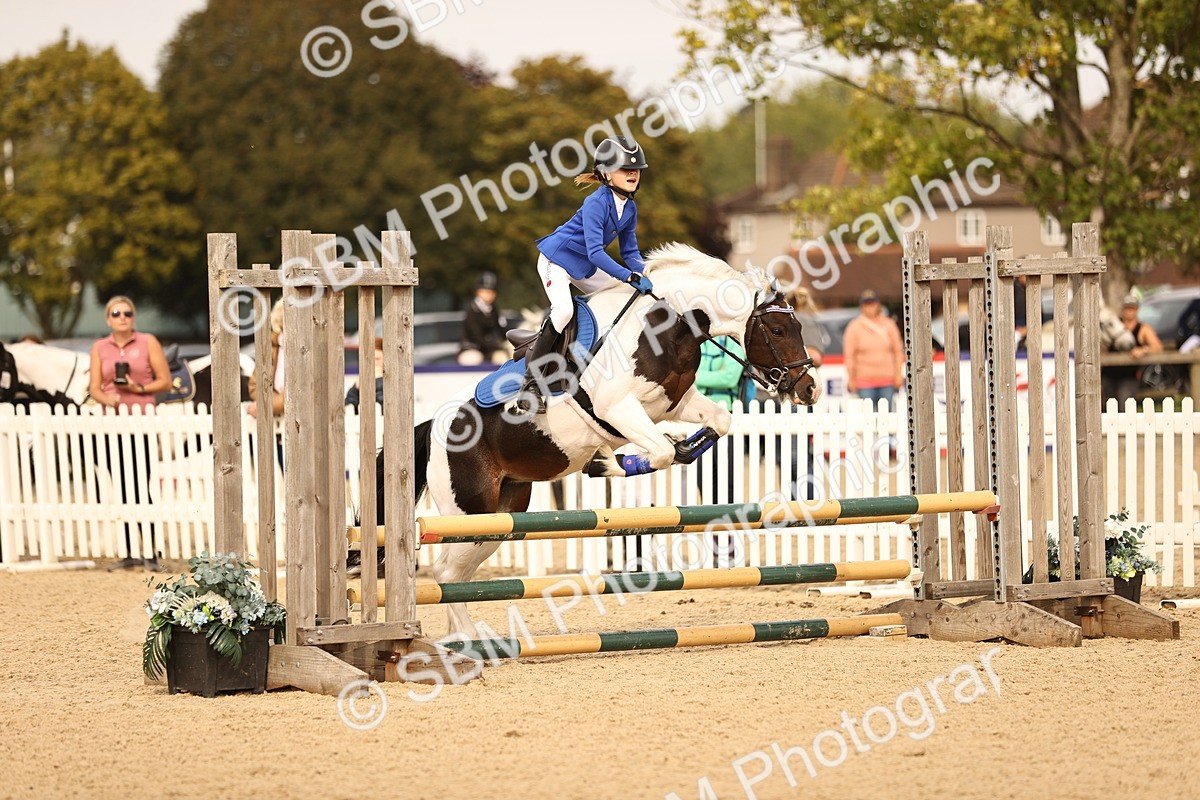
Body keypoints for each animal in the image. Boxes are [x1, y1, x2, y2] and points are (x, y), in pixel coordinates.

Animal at [381, 243, 821, 636]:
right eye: (778, 329)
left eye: (799, 327)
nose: (809, 389)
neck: (668, 327)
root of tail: (431, 428)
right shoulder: (619, 409)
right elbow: (661, 451)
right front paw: (608, 461)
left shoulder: (672, 405)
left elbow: (717, 422)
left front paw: (669, 449)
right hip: (470, 510)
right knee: (444, 571)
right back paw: (466, 644)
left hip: (500, 516)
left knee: (459, 573)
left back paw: (465, 640)